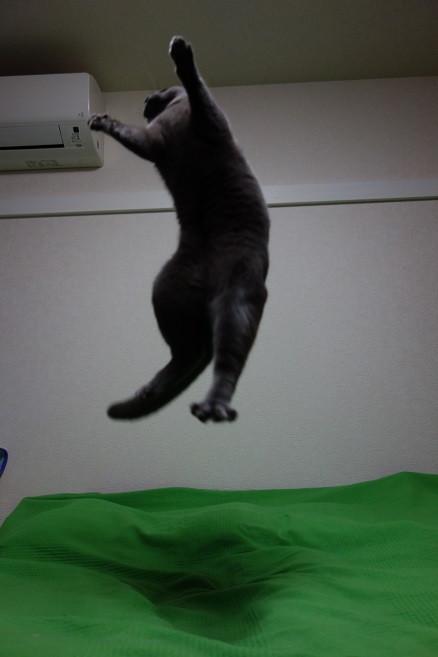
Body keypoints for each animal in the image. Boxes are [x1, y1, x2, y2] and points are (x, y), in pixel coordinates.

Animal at [89, 36, 269, 423]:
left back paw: (214, 406)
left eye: (157, 92)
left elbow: (198, 90)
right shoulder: (153, 142)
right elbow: (132, 133)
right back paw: (149, 393)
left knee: (223, 356)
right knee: (191, 352)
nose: (145, 101)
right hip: (166, 291)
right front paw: (101, 121)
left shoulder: (207, 122)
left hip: (236, 296)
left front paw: (183, 57)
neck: (174, 112)